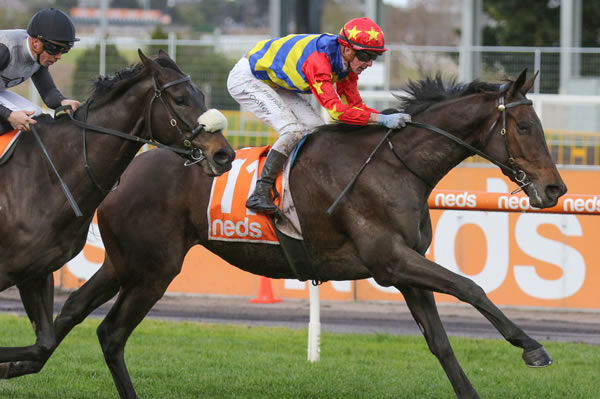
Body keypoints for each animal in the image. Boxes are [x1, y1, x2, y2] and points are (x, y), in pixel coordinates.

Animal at [0, 50, 234, 376]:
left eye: (200, 95)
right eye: (180, 99)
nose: (224, 154)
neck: (47, 175)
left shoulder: (36, 271)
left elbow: (42, 344)